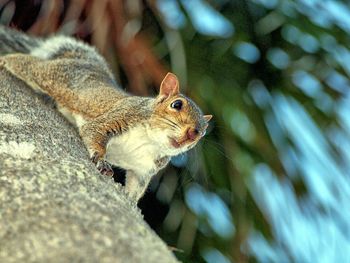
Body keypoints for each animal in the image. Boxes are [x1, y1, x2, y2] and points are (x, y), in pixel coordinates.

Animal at [0, 25, 213, 201]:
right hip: (51, 76)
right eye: (176, 104)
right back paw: (4, 61)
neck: (150, 141)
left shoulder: (144, 170)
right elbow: (94, 132)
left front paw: (132, 201)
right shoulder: (121, 116)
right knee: (26, 63)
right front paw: (102, 161)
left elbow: (136, 188)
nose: (193, 133)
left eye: (204, 132)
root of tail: (85, 62)